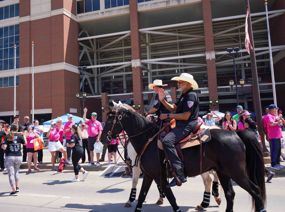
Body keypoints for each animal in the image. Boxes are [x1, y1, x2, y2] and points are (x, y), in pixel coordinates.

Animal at [102, 104, 266, 212]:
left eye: (110, 120)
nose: (102, 138)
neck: (147, 140)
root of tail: (235, 133)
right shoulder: (149, 174)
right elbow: (142, 195)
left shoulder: (156, 174)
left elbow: (169, 196)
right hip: (223, 172)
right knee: (229, 193)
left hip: (236, 172)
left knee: (255, 190)